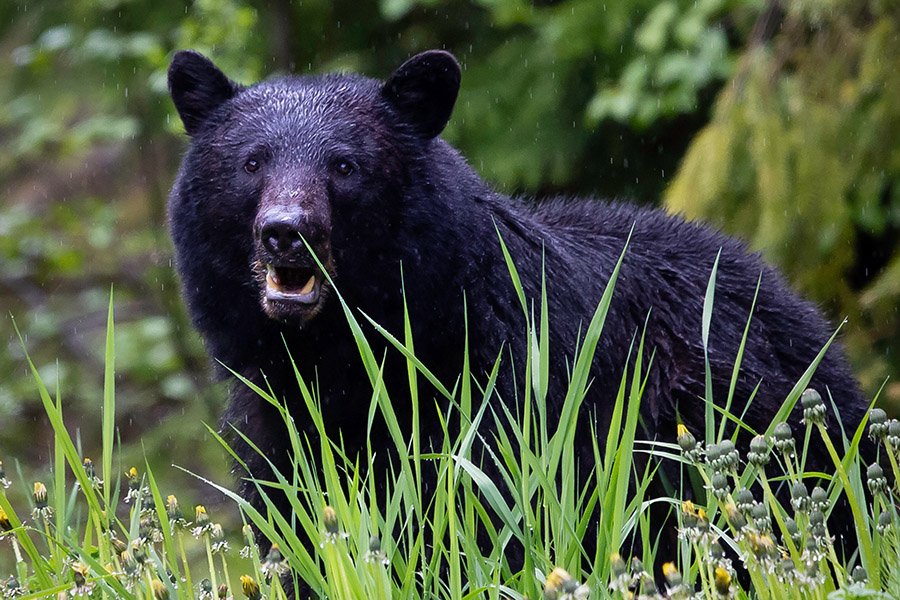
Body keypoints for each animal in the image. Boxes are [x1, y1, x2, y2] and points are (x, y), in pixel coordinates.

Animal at [166, 49, 868, 579]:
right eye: (251, 161)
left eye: (345, 165)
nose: (287, 232)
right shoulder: (276, 427)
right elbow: (301, 532)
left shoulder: (508, 394)